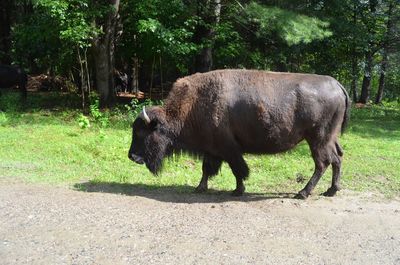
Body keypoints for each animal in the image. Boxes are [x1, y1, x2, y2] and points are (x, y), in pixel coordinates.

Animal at [128, 69, 350, 197]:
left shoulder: (228, 149)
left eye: (141, 132)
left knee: (323, 162)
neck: (191, 105)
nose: (132, 156)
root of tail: (337, 85)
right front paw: (200, 188)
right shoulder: (212, 149)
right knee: (337, 158)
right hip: (330, 138)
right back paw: (331, 191)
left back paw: (303, 193)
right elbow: (206, 169)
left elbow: (237, 169)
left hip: (317, 139)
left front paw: (237, 190)